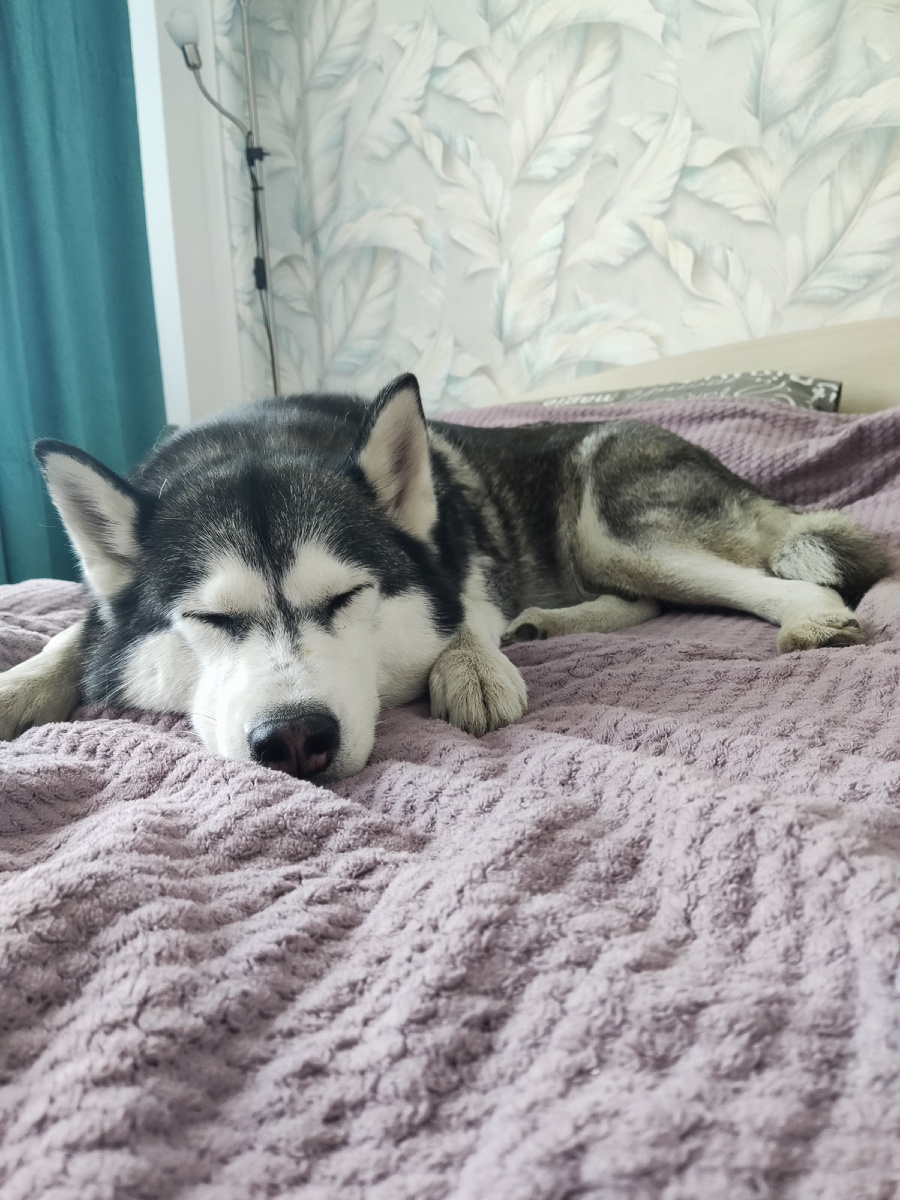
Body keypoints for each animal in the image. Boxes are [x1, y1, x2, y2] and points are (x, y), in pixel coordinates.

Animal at [0, 373, 888, 781]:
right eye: (211, 621)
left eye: (346, 597)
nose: (294, 739)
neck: (260, 437)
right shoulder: (102, 613)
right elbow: (72, 638)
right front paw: (20, 686)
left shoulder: (465, 568)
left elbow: (460, 612)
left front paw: (470, 667)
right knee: (641, 601)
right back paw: (546, 623)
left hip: (613, 526)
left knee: (771, 580)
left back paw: (808, 615)